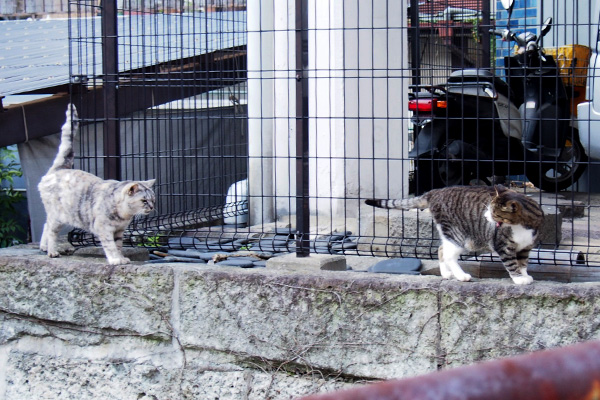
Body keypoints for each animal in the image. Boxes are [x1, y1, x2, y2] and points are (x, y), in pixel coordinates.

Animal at [38, 104, 156, 264]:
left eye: (153, 200)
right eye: (144, 200)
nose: (151, 207)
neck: (124, 215)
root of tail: (59, 169)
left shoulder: (119, 231)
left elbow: (118, 245)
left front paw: (121, 258)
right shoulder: (104, 228)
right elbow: (110, 246)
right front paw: (115, 260)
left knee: (45, 224)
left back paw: (44, 247)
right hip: (57, 216)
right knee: (51, 231)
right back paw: (52, 251)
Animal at [366, 187, 544, 284]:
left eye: (493, 212)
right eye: (488, 210)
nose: (486, 217)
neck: (521, 226)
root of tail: (434, 192)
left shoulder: (526, 247)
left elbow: (523, 263)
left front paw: (525, 275)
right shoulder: (503, 246)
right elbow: (512, 263)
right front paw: (519, 279)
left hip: (449, 234)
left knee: (441, 250)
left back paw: (446, 274)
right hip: (457, 234)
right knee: (449, 255)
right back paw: (461, 276)